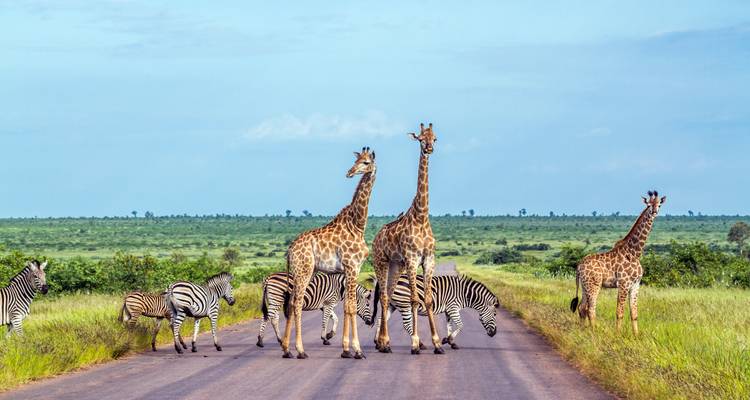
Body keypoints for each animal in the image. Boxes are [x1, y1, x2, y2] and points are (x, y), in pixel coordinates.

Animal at [281, 147, 376, 359]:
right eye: (356, 161)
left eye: (365, 162)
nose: (349, 172)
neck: (358, 225)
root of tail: (290, 250)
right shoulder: (352, 267)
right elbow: (351, 307)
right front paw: (357, 350)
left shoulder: (351, 269)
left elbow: (348, 307)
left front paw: (346, 349)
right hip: (304, 271)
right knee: (297, 304)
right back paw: (300, 350)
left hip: (299, 272)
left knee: (290, 303)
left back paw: (286, 349)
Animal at [370, 122, 444, 354]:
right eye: (420, 138)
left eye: (434, 138)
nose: (429, 148)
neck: (421, 216)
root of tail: (376, 237)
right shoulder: (412, 259)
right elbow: (413, 299)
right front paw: (414, 343)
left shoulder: (428, 259)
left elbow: (427, 300)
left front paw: (437, 343)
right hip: (381, 262)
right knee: (384, 297)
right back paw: (384, 342)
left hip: (396, 265)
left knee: (388, 294)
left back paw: (383, 342)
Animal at [570, 190, 666, 335]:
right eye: (649, 205)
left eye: (659, 204)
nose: (654, 212)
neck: (634, 253)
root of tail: (579, 266)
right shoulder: (623, 284)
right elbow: (619, 312)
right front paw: (618, 334)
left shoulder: (636, 284)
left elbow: (634, 313)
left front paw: (636, 335)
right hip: (594, 284)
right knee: (590, 309)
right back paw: (594, 332)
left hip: (585, 285)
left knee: (582, 307)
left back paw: (583, 331)